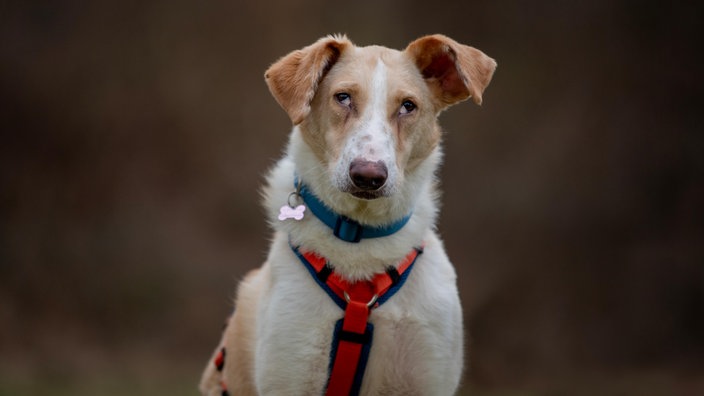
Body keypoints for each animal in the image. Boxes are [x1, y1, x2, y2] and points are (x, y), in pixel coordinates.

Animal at [198, 34, 496, 396]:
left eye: (408, 106)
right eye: (343, 97)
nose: (368, 176)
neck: (359, 234)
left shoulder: (427, 374)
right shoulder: (292, 370)